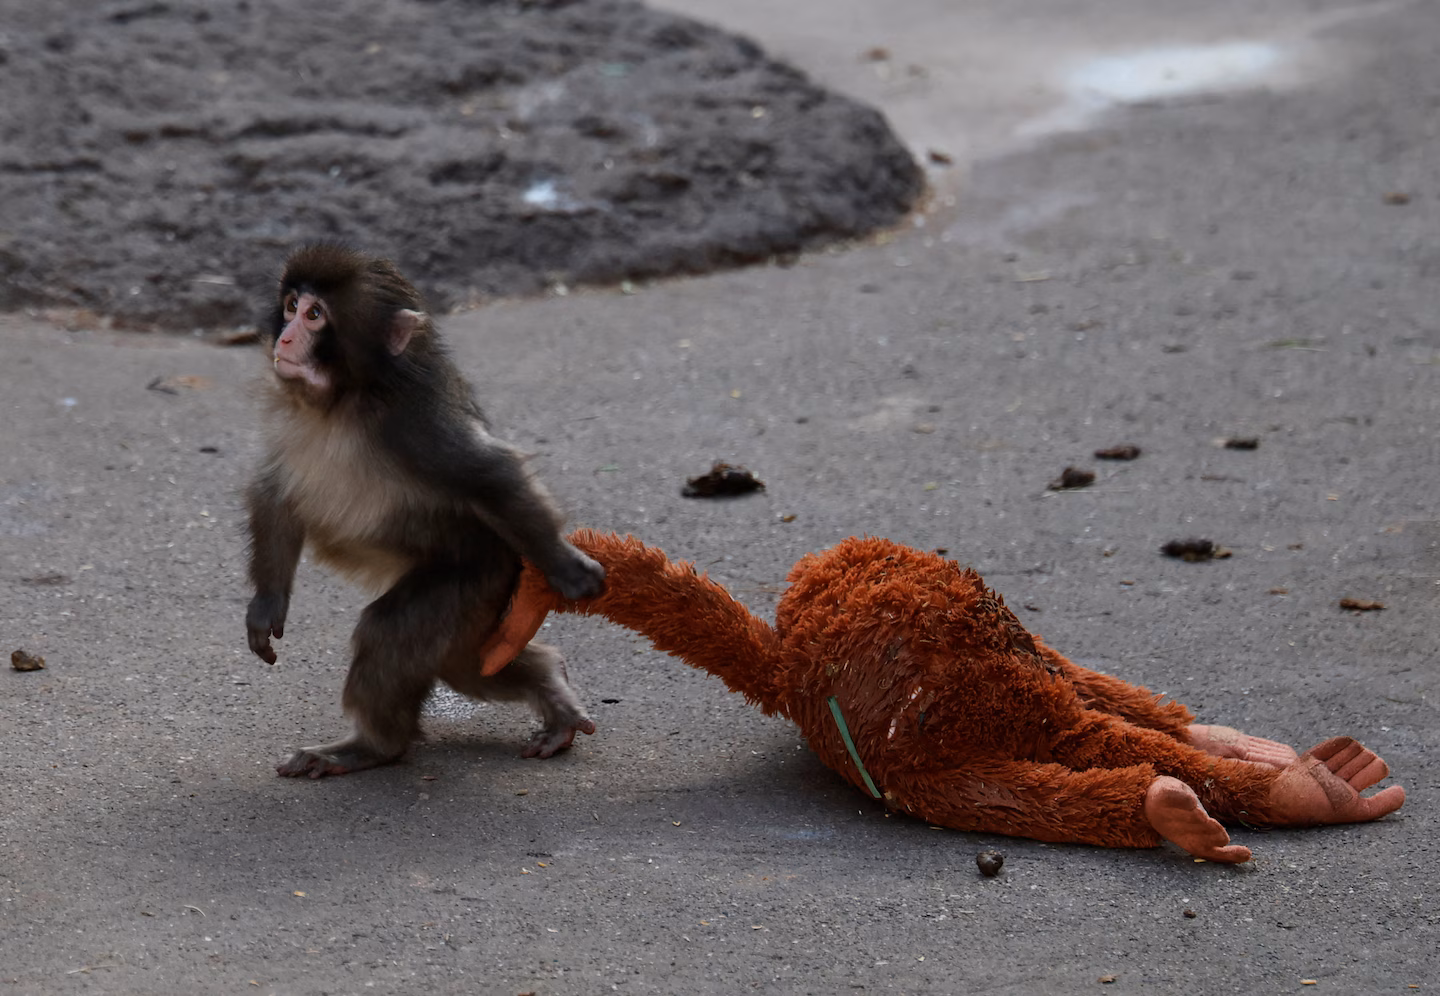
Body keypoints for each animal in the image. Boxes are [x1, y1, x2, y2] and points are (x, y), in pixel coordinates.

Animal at [245, 245, 605, 778]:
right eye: (291, 305)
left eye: (315, 316)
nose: (286, 337)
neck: (344, 399)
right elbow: (275, 493)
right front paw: (267, 604)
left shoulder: (417, 424)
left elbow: (490, 473)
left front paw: (567, 566)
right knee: (468, 665)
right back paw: (550, 680)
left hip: (477, 575)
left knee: (393, 632)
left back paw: (373, 746)